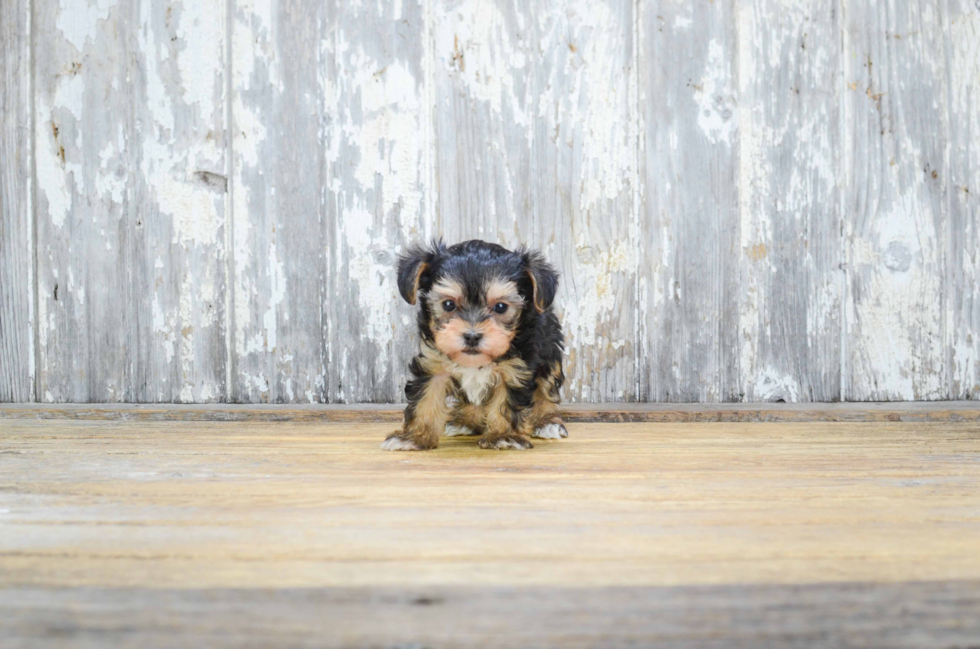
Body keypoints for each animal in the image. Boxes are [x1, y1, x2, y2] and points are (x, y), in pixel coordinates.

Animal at [382, 239, 568, 450]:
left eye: (501, 307)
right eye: (448, 304)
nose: (472, 336)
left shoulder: (517, 368)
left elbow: (506, 403)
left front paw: (503, 436)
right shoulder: (433, 363)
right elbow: (426, 398)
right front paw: (415, 437)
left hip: (549, 351)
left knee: (546, 387)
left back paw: (547, 422)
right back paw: (466, 421)